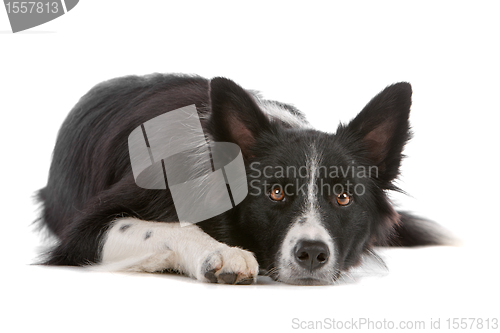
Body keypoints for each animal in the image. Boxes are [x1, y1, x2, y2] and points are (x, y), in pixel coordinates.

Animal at [35, 74, 450, 284]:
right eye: (276, 192)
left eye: (344, 198)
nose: (312, 253)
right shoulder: (83, 234)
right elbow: (163, 228)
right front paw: (221, 253)